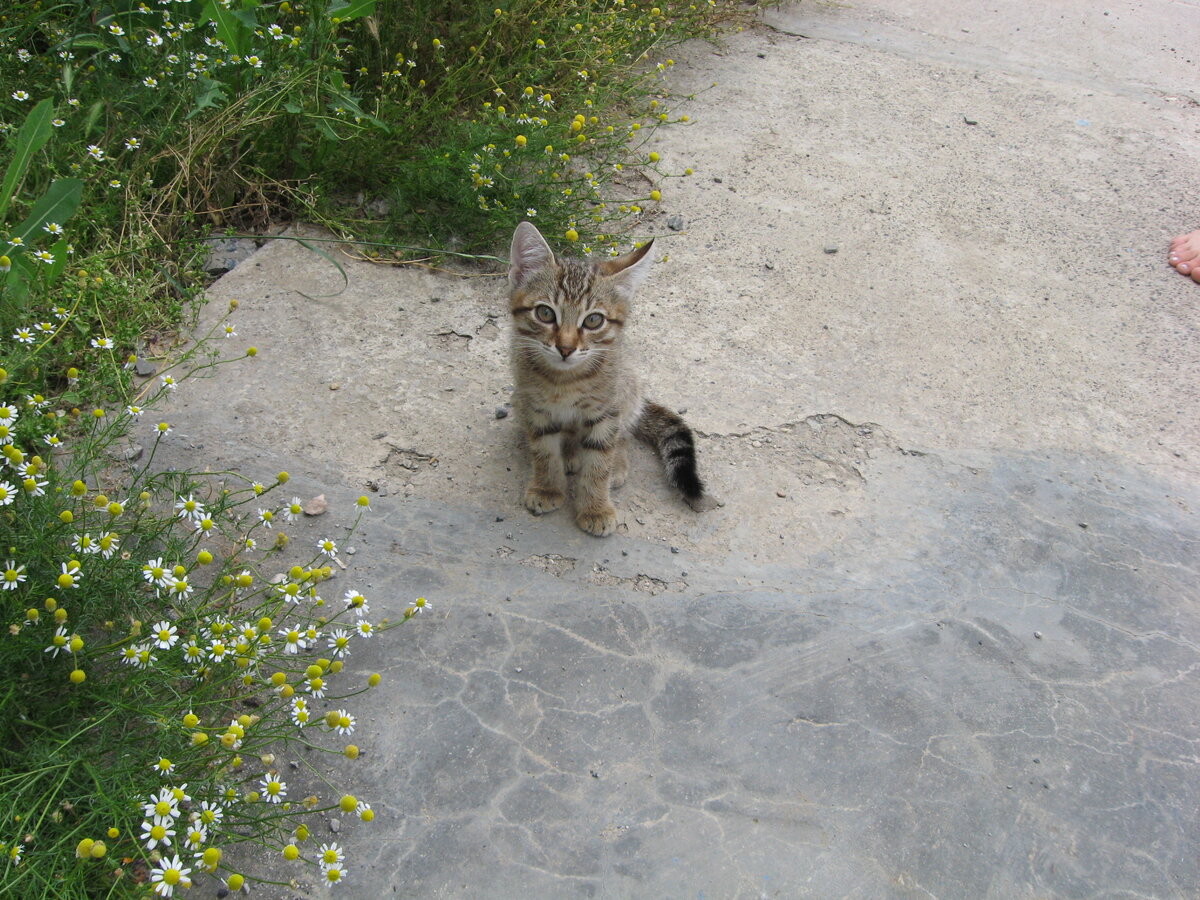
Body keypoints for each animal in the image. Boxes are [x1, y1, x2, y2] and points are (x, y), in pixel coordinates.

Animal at [504, 222, 710, 540]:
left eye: (593, 320)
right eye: (545, 313)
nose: (565, 348)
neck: (565, 381)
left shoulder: (605, 413)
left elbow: (599, 462)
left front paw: (596, 509)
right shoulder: (535, 409)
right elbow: (545, 452)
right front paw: (547, 488)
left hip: (627, 389)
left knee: (623, 435)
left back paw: (614, 464)